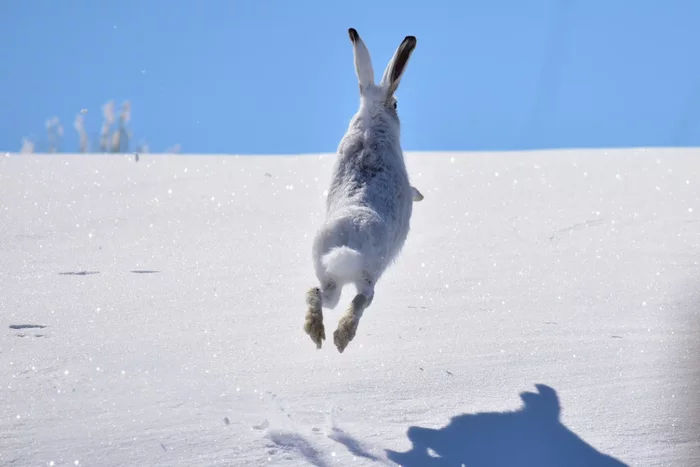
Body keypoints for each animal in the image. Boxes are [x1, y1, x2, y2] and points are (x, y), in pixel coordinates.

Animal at [303, 28, 421, 353]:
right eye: (395, 105)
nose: (396, 108)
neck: (371, 120)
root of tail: (348, 245)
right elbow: (412, 190)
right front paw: (419, 195)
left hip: (325, 272)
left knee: (317, 293)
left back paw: (315, 330)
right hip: (370, 274)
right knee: (360, 300)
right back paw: (342, 335)